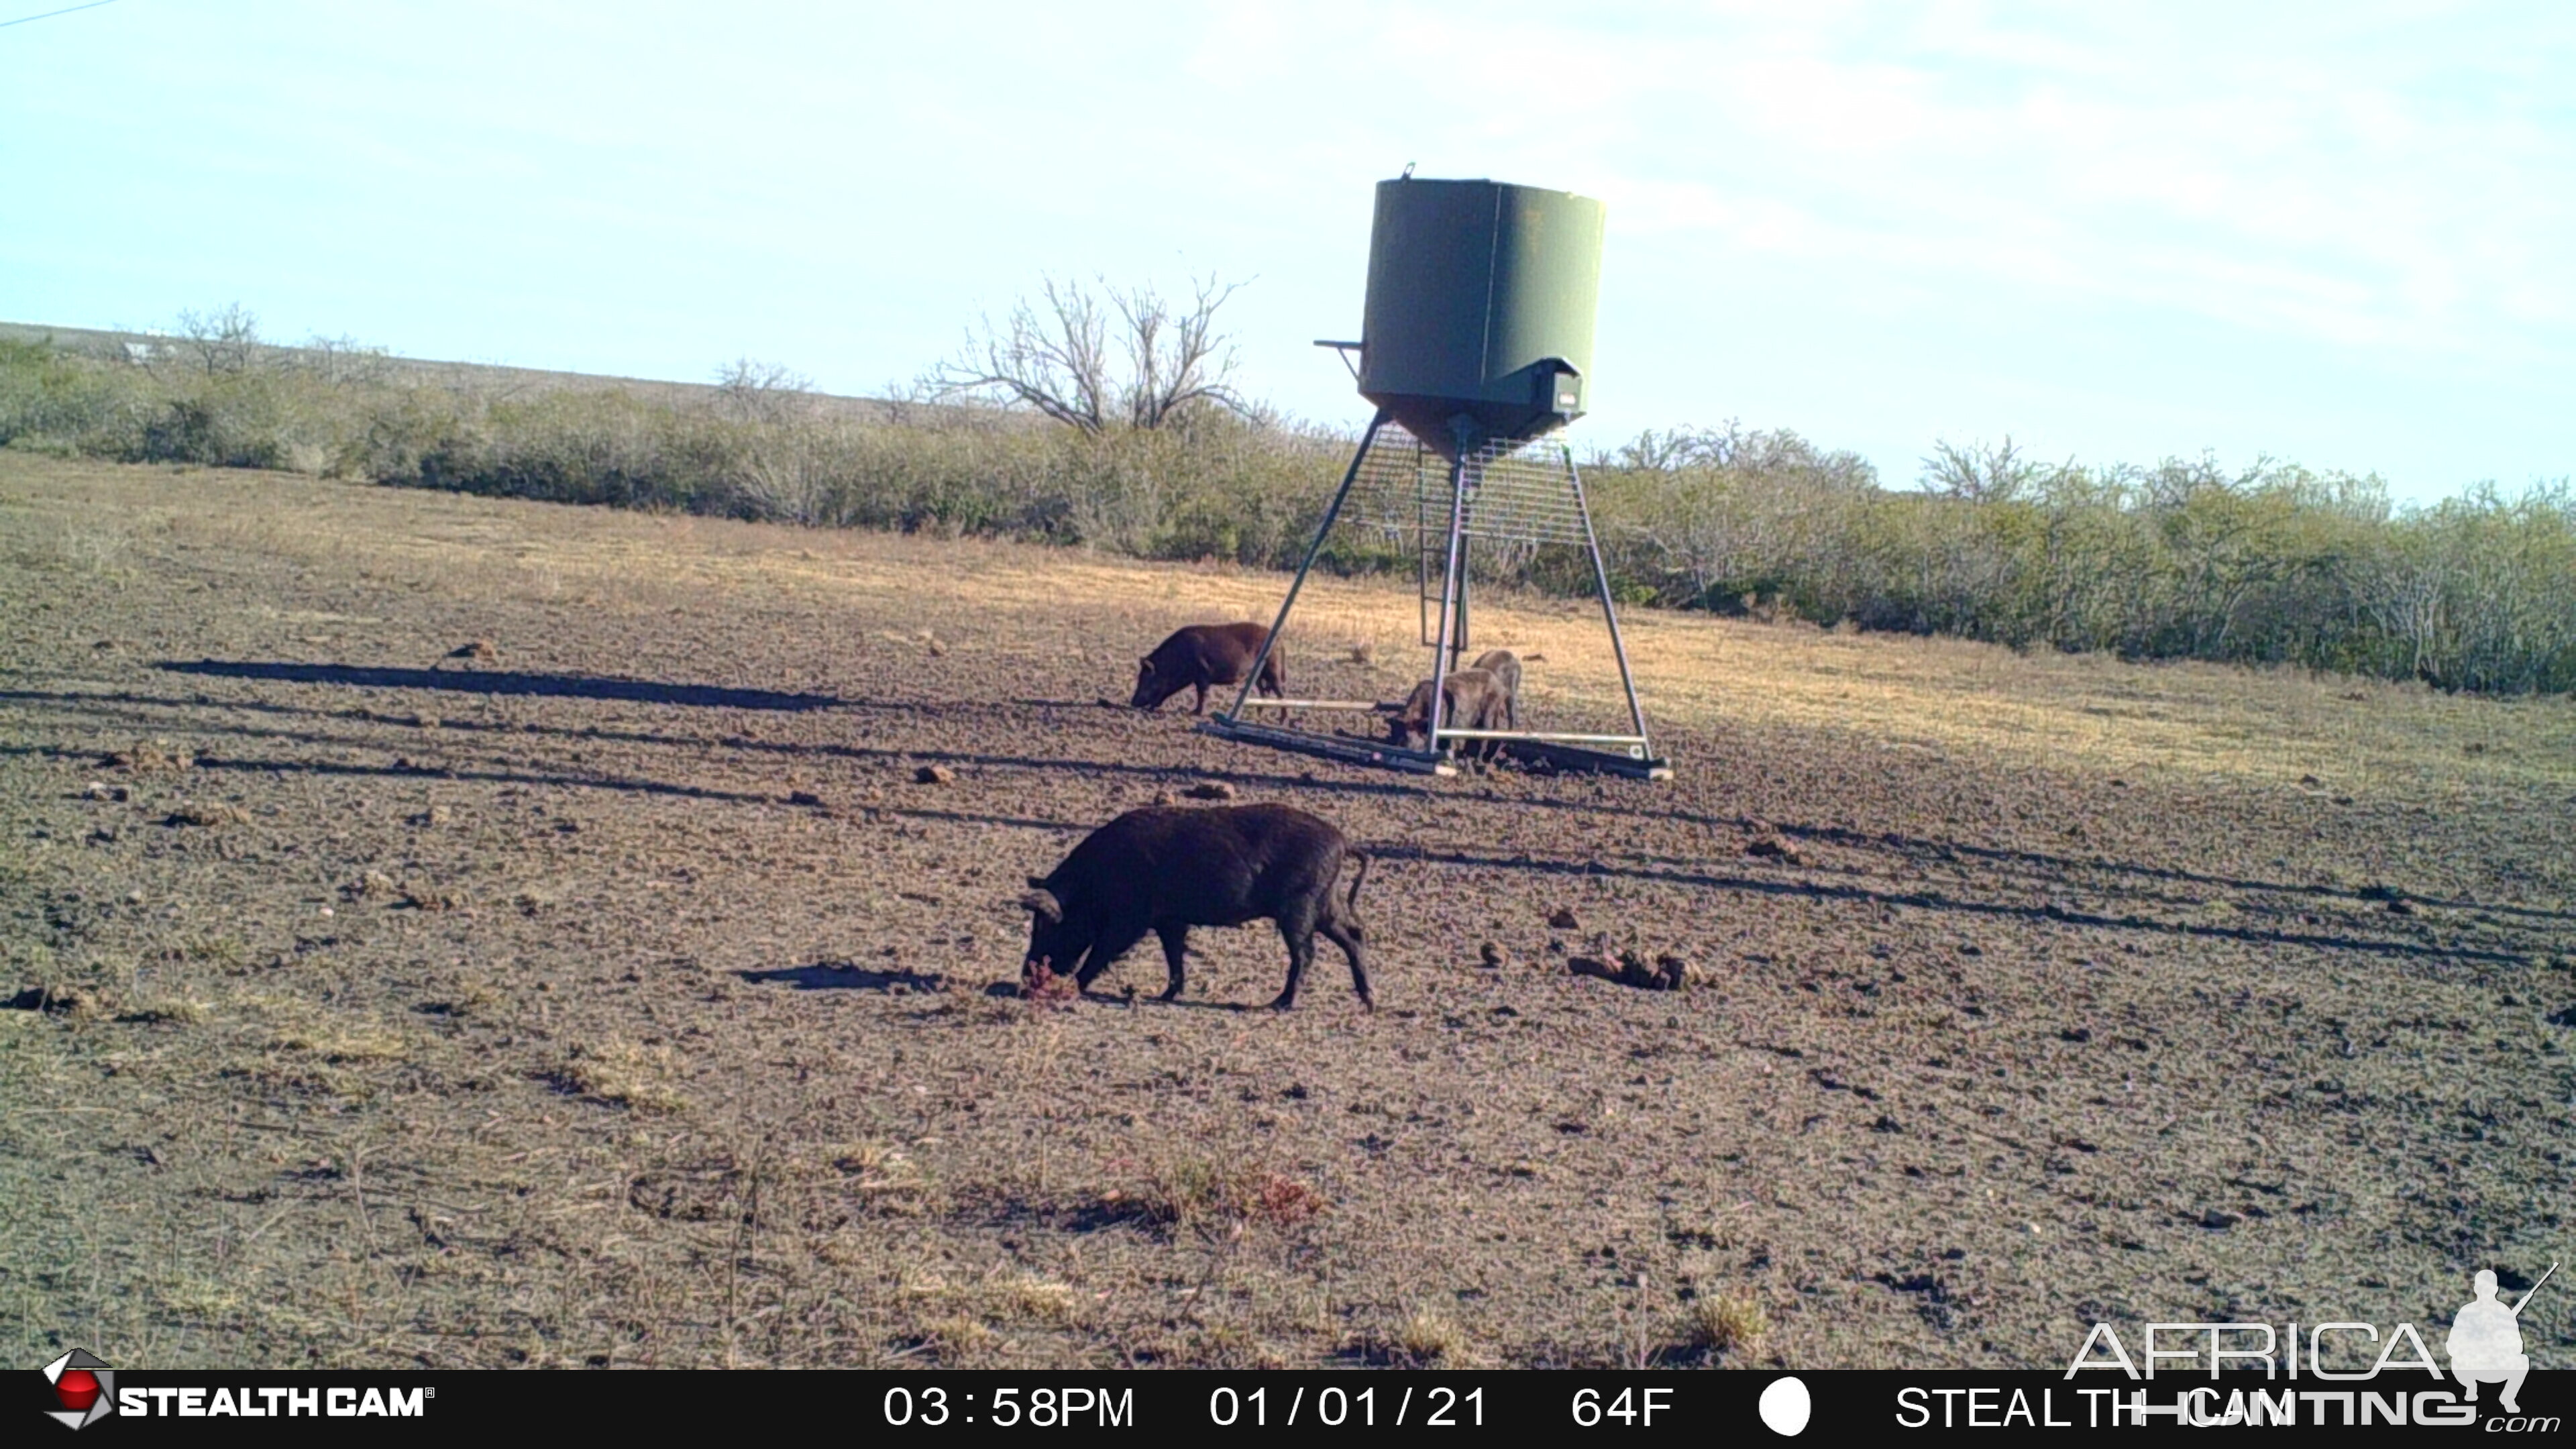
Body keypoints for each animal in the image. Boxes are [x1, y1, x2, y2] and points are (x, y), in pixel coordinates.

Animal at [1014, 794, 1370, 1010]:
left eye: (1048, 927)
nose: (1025, 977)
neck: (1094, 879)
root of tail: (1342, 841)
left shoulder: (1131, 920)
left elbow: (1103, 951)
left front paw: (1073, 988)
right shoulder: (1169, 920)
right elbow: (1174, 955)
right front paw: (1165, 996)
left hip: (1300, 907)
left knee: (1307, 952)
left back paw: (1280, 1004)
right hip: (1326, 904)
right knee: (1354, 936)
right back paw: (1369, 1002)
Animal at [1133, 619, 1283, 711]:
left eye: (1145, 679)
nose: (1132, 702)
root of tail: (1278, 639)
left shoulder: (1203, 674)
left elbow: (1202, 694)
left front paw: (1195, 713)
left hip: (1272, 667)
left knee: (1279, 692)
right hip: (1259, 676)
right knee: (1264, 692)